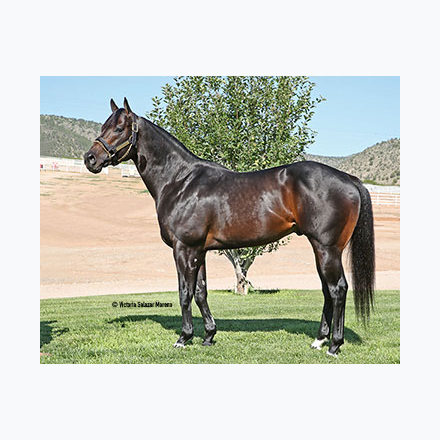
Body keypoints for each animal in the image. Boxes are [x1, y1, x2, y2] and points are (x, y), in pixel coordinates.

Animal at [84, 98, 375, 357]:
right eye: (103, 126)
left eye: (119, 128)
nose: (90, 159)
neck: (181, 181)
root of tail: (348, 179)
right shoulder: (198, 251)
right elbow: (200, 292)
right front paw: (209, 336)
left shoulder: (184, 249)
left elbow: (184, 292)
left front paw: (183, 338)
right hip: (321, 249)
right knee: (327, 290)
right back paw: (319, 341)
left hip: (327, 248)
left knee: (338, 289)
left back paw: (334, 345)